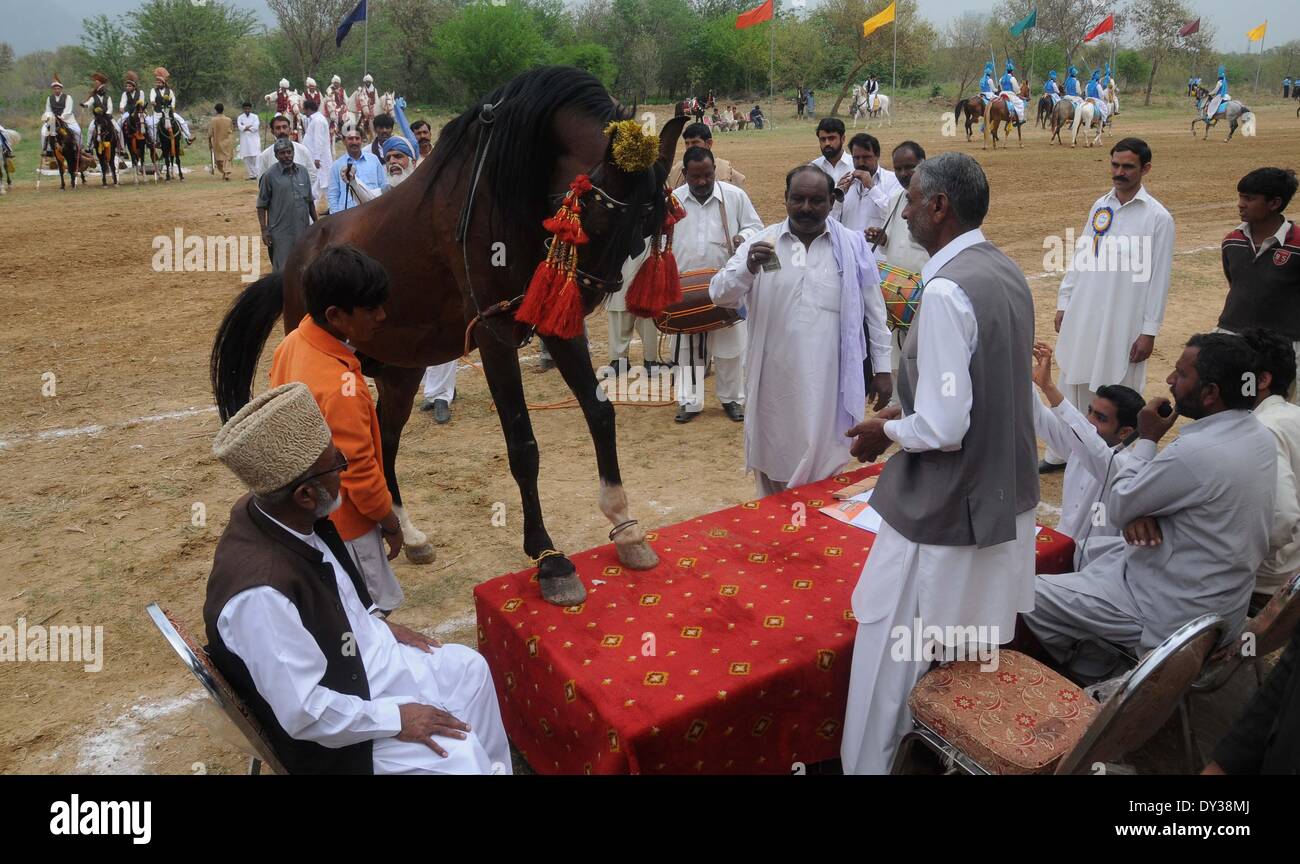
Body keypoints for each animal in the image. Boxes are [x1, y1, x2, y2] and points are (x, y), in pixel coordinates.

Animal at [210, 65, 691, 605]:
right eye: (595, 217)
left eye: (646, 226)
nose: (591, 293)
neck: (508, 190)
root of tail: (297, 259)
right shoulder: (495, 334)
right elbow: (523, 446)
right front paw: (549, 558)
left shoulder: (554, 325)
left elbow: (600, 412)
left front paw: (625, 526)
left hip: (400, 370)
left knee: (384, 439)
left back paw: (405, 530)